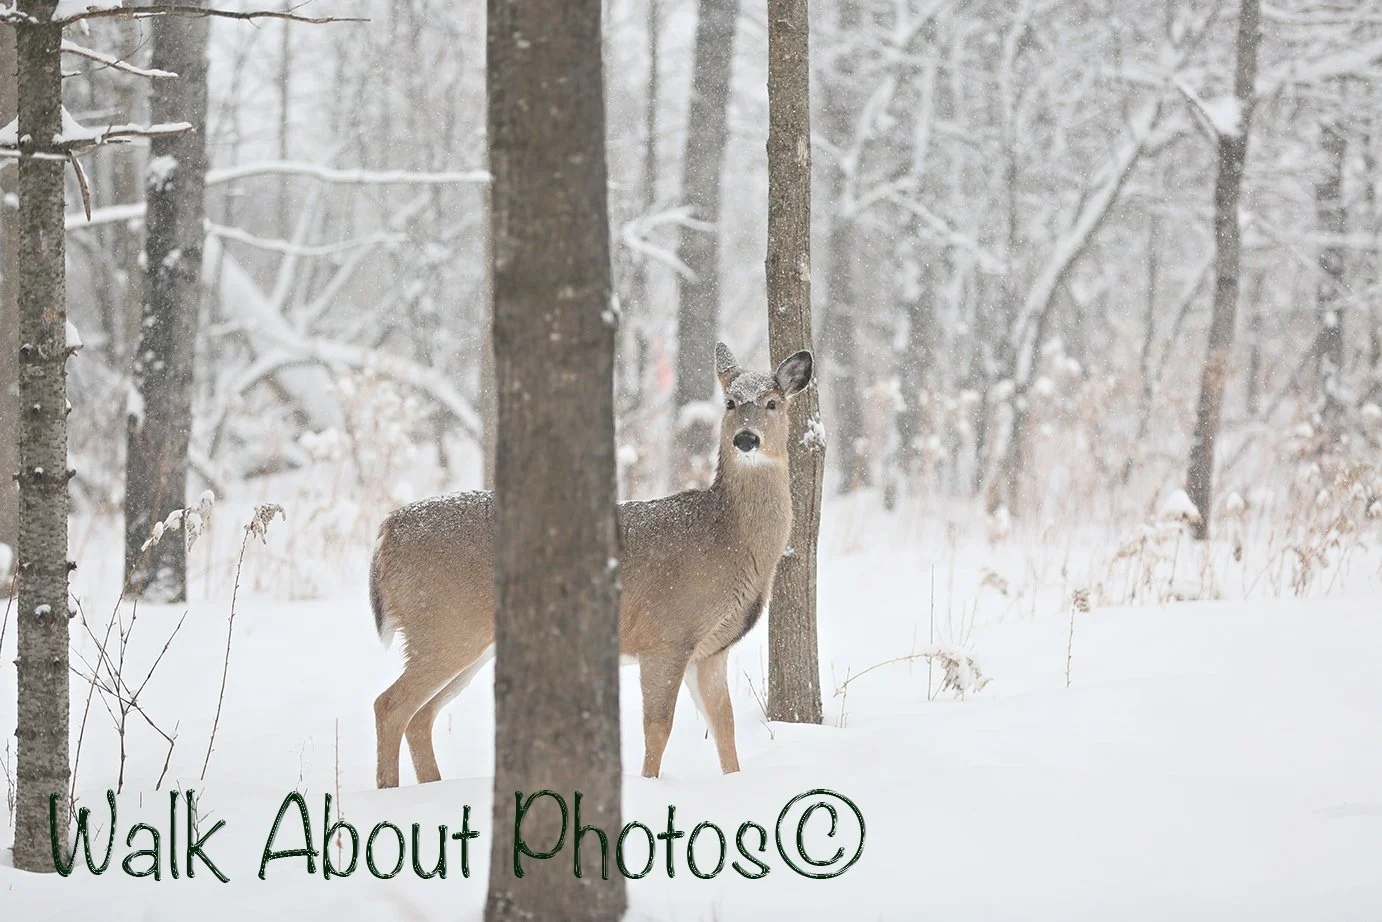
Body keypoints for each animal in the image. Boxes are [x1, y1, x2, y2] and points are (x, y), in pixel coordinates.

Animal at [368, 342, 813, 788]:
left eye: (773, 403)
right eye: (730, 402)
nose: (746, 438)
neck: (728, 539)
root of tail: (388, 531)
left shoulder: (711, 650)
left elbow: (724, 726)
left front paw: (734, 782)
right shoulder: (666, 634)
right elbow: (658, 728)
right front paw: (649, 783)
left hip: (466, 639)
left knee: (420, 716)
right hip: (443, 624)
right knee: (389, 705)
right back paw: (389, 791)